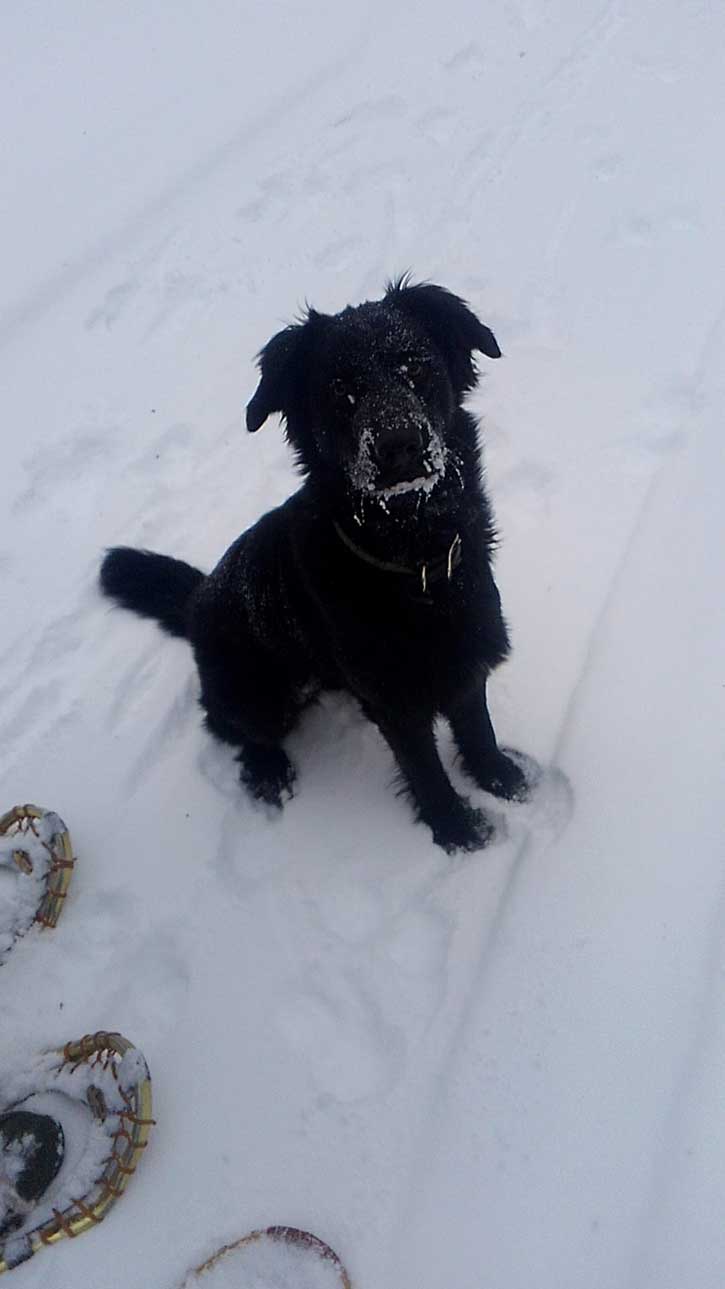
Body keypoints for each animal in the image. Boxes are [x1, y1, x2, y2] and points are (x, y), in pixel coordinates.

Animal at [99, 277, 523, 850]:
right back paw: (268, 772)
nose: (399, 445)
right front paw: (458, 831)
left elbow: (477, 727)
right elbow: (425, 770)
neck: (412, 559)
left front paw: (500, 777)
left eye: (415, 368)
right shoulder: (396, 700)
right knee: (231, 728)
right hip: (254, 693)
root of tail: (196, 599)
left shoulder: (468, 653)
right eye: (340, 391)